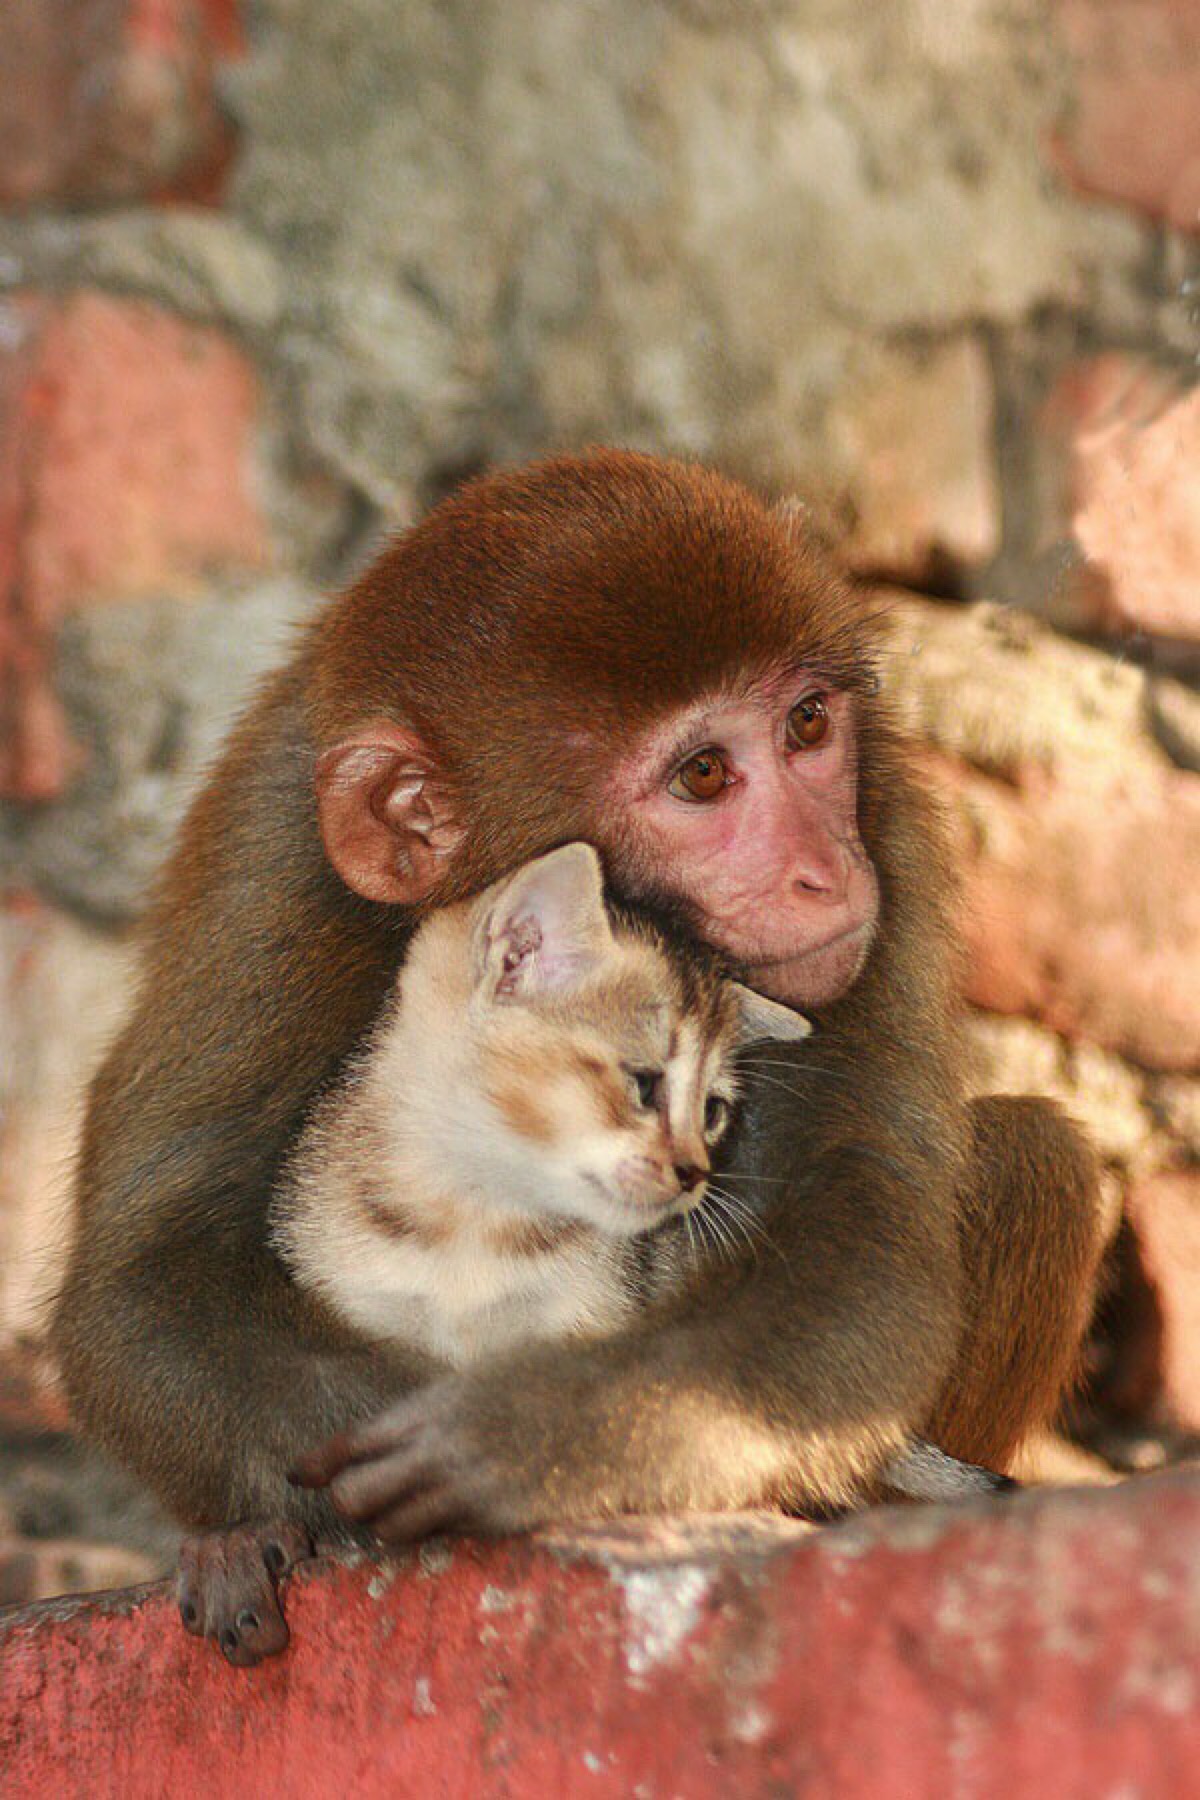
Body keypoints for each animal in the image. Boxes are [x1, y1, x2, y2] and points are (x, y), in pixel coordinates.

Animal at [51, 457, 1101, 1663]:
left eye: (807, 723)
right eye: (704, 774)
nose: (827, 873)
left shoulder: (889, 826)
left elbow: (858, 1261)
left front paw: (524, 1437)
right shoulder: (270, 869)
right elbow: (143, 1285)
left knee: (1030, 1151)